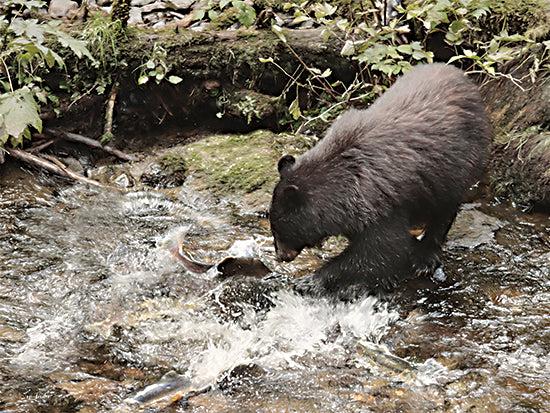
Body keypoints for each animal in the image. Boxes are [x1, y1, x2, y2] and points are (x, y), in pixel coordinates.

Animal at [270, 62, 494, 296]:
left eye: (279, 228)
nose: (281, 256)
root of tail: (463, 77)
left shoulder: (382, 205)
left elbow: (381, 249)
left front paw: (310, 280)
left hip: (461, 164)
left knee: (444, 209)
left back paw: (424, 257)